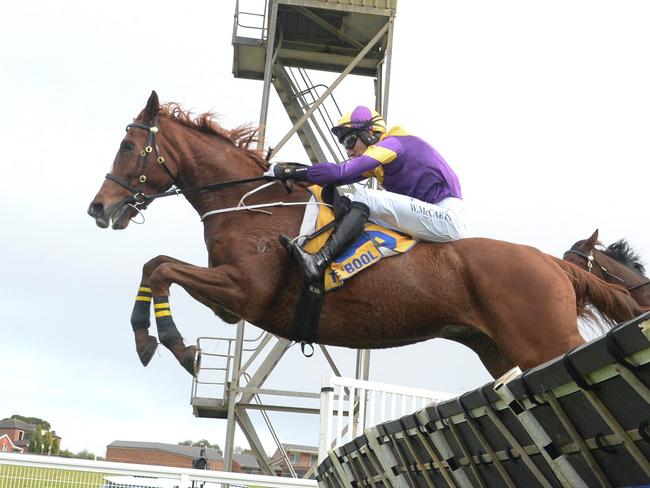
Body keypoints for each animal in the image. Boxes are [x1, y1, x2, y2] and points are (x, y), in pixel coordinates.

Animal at [86, 93, 636, 380]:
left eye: (128, 146)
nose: (98, 207)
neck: (249, 203)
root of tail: (550, 261)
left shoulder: (245, 291)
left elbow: (163, 267)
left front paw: (174, 345)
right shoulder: (230, 301)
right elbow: (154, 265)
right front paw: (149, 338)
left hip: (548, 342)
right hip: (502, 350)